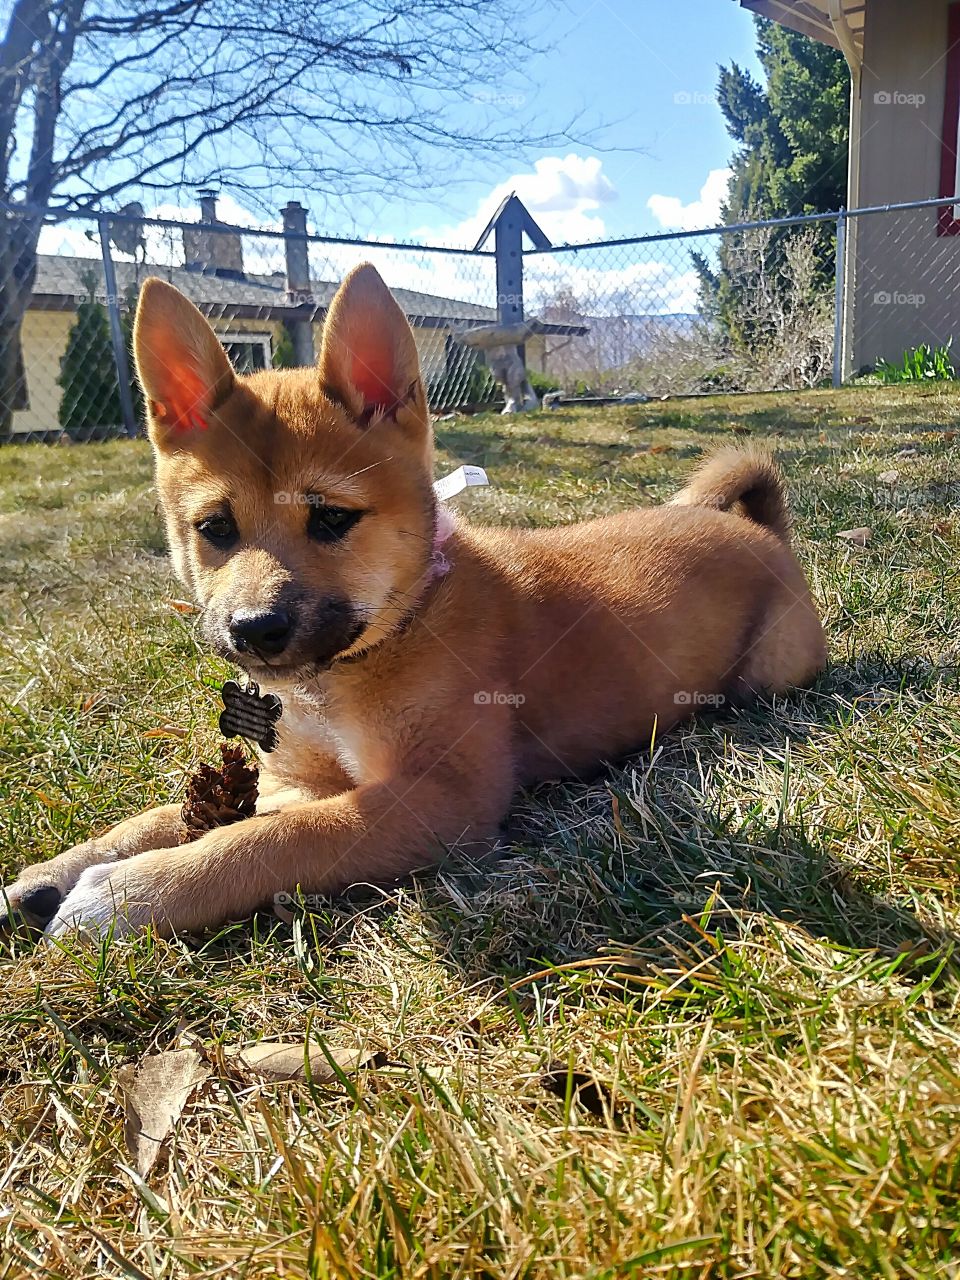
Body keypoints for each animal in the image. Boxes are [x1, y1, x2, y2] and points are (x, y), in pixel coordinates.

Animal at [1, 262, 829, 942]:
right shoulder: (299, 777)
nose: (254, 631)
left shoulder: (436, 798)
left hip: (769, 674)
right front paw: (65, 868)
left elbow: (272, 840)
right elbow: (166, 815)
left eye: (333, 518)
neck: (393, 630)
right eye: (214, 529)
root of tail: (758, 530)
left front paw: (128, 895)